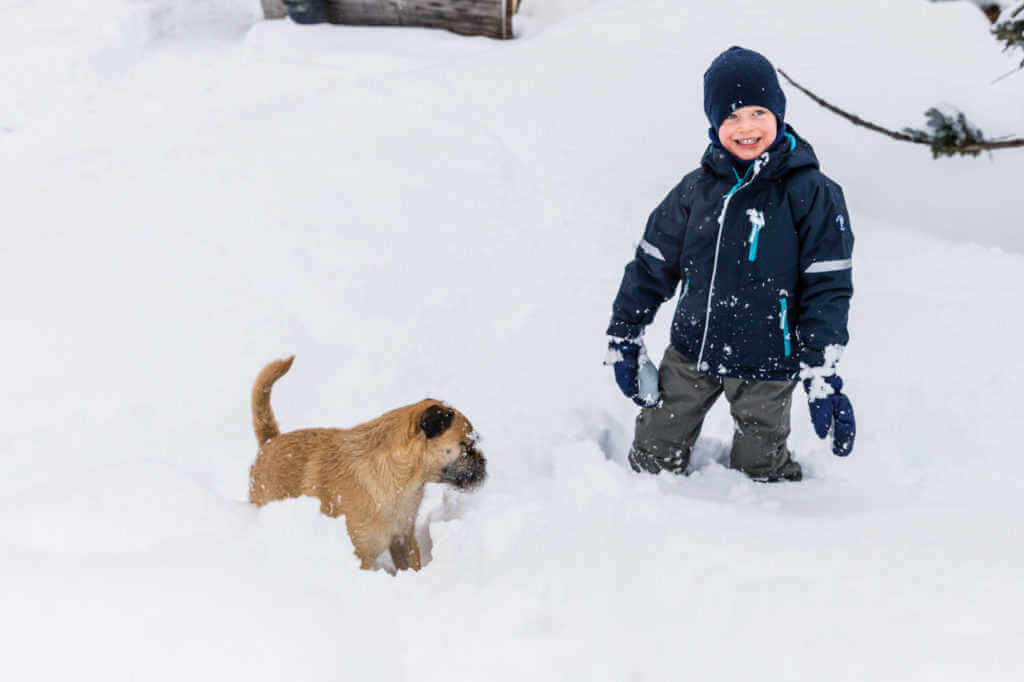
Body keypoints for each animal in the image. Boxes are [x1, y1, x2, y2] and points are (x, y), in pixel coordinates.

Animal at [248, 356, 487, 569]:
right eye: (467, 446)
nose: (484, 464)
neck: (403, 481)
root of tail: (270, 440)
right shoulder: (360, 555)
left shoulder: (403, 540)